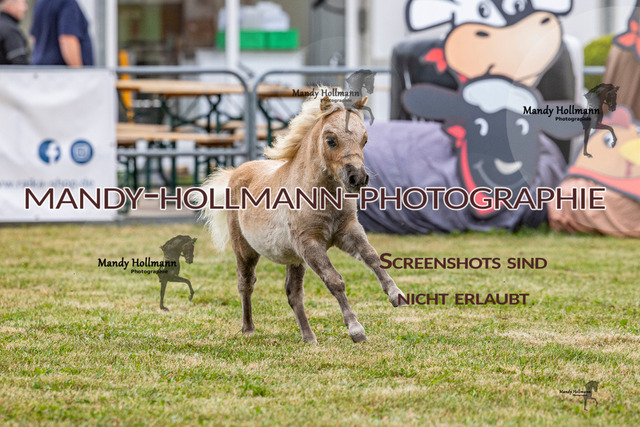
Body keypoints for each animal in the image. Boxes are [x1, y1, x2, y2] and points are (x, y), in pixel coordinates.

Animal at [196, 93, 406, 343]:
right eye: (331, 140)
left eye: (364, 139)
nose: (357, 178)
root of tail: (235, 173)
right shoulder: (310, 244)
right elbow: (335, 281)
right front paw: (356, 330)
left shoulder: (348, 232)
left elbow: (372, 257)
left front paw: (396, 295)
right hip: (245, 250)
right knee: (246, 283)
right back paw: (248, 329)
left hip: (294, 260)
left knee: (293, 293)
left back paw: (309, 337)